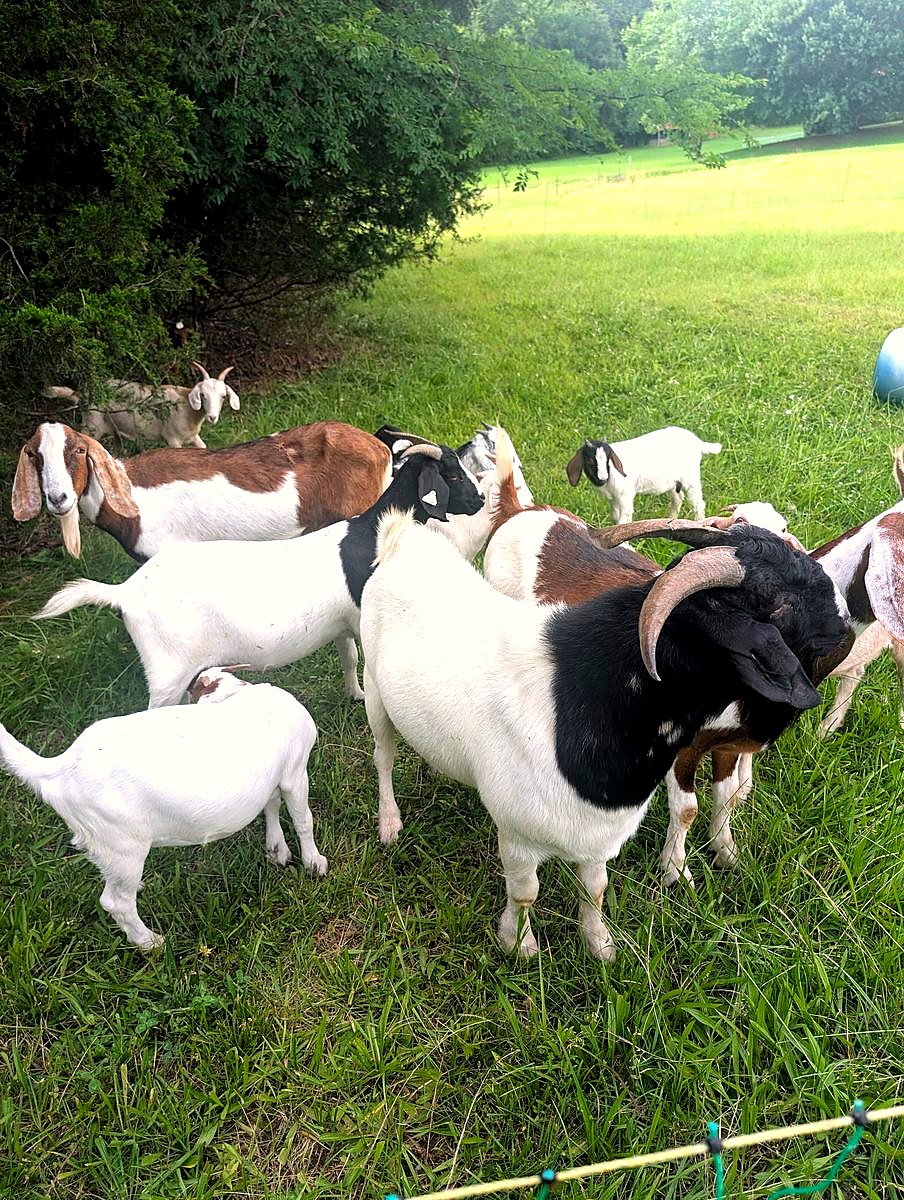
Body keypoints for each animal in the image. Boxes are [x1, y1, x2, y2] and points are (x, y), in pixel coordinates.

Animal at [0, 668, 326, 949]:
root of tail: (61, 769)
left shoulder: (275, 775)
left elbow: (271, 803)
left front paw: (277, 849)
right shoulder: (296, 771)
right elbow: (303, 819)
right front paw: (314, 863)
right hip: (122, 843)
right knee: (115, 902)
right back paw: (149, 942)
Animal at [34, 444, 484, 708]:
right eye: (452, 474)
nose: (480, 499)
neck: (370, 533)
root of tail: (123, 593)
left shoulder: (342, 623)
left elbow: (348, 658)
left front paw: (354, 695)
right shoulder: (363, 616)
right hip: (165, 674)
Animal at [359, 494, 853, 959]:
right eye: (778, 603)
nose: (848, 627)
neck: (584, 699)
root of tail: (403, 540)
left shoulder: (599, 835)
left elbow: (594, 889)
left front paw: (600, 947)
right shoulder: (517, 835)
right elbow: (525, 892)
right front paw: (519, 945)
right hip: (376, 697)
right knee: (383, 757)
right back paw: (389, 824)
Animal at [566, 426, 722, 524]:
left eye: (608, 459)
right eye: (590, 460)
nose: (602, 478)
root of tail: (698, 442)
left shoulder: (625, 495)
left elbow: (624, 519)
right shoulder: (613, 499)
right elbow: (615, 516)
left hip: (691, 477)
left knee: (698, 503)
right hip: (672, 481)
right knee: (678, 498)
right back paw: (669, 521)